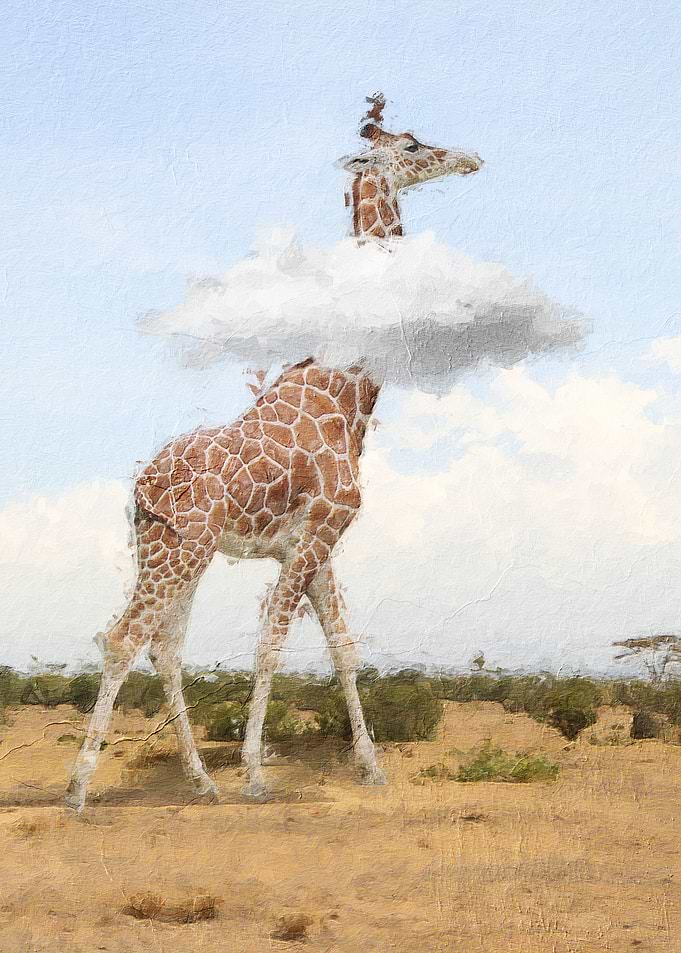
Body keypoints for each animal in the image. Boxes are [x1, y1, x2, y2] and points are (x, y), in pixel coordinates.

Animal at [65, 96, 483, 811]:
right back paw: (80, 787)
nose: (468, 157)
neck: (348, 391)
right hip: (180, 547)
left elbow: (344, 647)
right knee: (125, 637)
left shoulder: (315, 545)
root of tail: (141, 486)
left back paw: (201, 781)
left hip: (171, 547)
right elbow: (270, 646)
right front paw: (257, 774)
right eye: (412, 144)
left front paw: (372, 768)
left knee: (164, 645)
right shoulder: (316, 536)